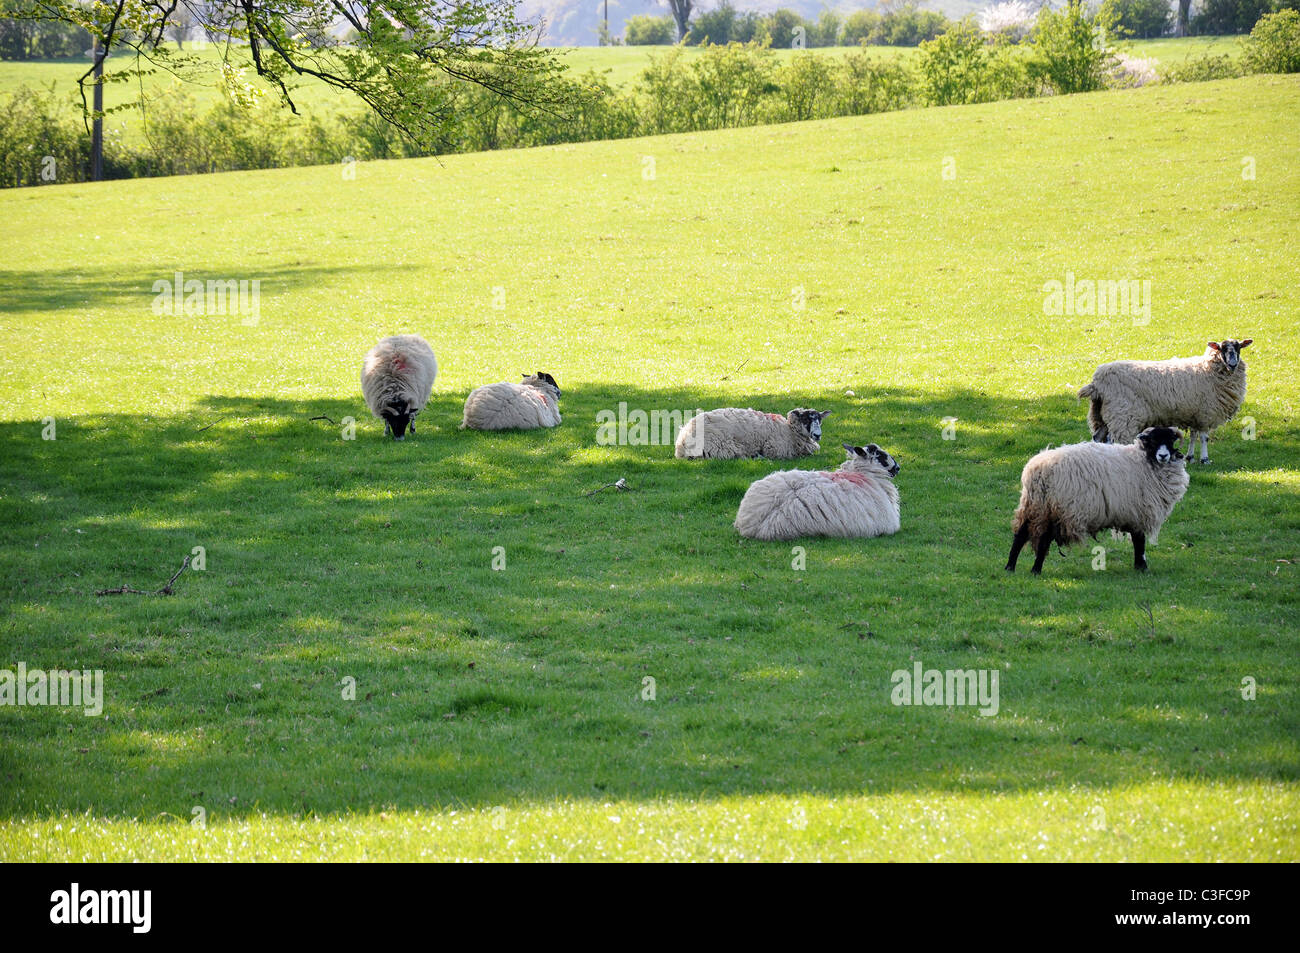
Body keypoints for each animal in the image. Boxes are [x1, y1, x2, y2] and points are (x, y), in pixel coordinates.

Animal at [675, 408, 831, 459]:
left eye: (819, 420)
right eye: (806, 419)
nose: (817, 435)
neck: (789, 432)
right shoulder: (775, 449)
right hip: (723, 447)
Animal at [1005, 426, 1189, 575]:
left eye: (1170, 440)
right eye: (1154, 440)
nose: (1163, 455)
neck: (1145, 459)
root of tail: (1037, 470)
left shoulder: (1133, 513)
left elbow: (1138, 540)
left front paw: (1139, 567)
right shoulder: (1138, 511)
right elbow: (1139, 541)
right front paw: (1142, 567)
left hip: (1036, 505)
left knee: (1020, 535)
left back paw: (1010, 568)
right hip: (1058, 508)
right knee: (1043, 539)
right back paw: (1035, 570)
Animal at [1078, 338, 1251, 464]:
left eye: (1238, 347)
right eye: (1222, 348)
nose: (1233, 363)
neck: (1208, 369)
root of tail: (1097, 382)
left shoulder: (1194, 412)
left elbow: (1193, 436)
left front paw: (1190, 457)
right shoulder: (1206, 413)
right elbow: (1204, 438)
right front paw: (1205, 459)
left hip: (1103, 415)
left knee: (1098, 438)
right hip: (1121, 415)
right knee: (1114, 440)